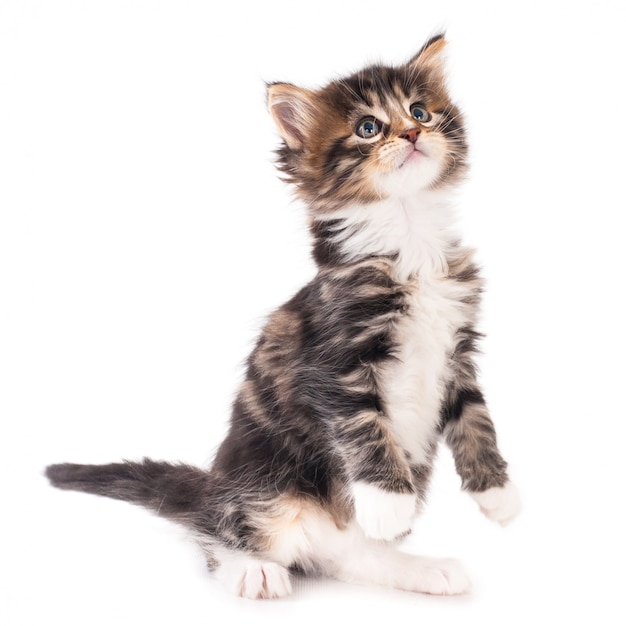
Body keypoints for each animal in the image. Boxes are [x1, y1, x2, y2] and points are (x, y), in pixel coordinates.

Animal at [46, 35, 520, 600]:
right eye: (368, 128)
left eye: (420, 112)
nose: (411, 133)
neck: (409, 242)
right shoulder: (334, 364)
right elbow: (366, 430)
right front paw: (389, 501)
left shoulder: (457, 350)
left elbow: (477, 420)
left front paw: (498, 494)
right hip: (265, 486)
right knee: (217, 530)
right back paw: (253, 568)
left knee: (353, 555)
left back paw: (421, 567)